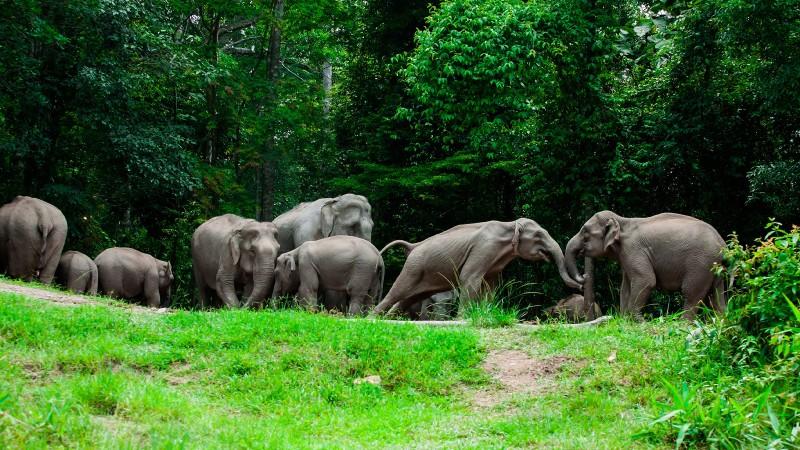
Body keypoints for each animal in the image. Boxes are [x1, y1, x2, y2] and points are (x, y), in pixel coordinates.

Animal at [373, 218, 582, 315]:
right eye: (538, 236)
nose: (582, 281)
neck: (509, 225)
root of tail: (412, 246)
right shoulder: (484, 248)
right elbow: (469, 278)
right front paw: (463, 319)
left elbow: (491, 285)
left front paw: (486, 311)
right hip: (413, 269)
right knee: (396, 293)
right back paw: (370, 318)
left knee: (405, 300)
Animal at [564, 211, 726, 320]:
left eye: (585, 232)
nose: (584, 276)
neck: (622, 221)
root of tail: (722, 242)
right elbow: (625, 287)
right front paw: (624, 320)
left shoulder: (633, 250)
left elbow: (646, 280)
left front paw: (637, 321)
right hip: (713, 266)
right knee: (716, 295)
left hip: (701, 263)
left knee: (691, 293)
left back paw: (683, 324)